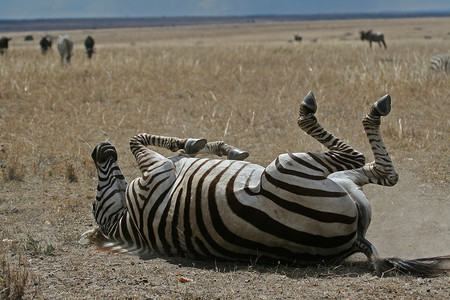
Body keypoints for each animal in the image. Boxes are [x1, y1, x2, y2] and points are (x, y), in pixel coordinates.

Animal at [82, 92, 448, 276]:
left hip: (337, 181)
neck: (125, 223)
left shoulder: (160, 171)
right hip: (289, 167)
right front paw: (196, 143)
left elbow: (156, 142)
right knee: (369, 163)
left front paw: (222, 148)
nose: (99, 148)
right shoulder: (154, 174)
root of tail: (357, 241)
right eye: (97, 201)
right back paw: (335, 110)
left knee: (384, 173)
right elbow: (136, 138)